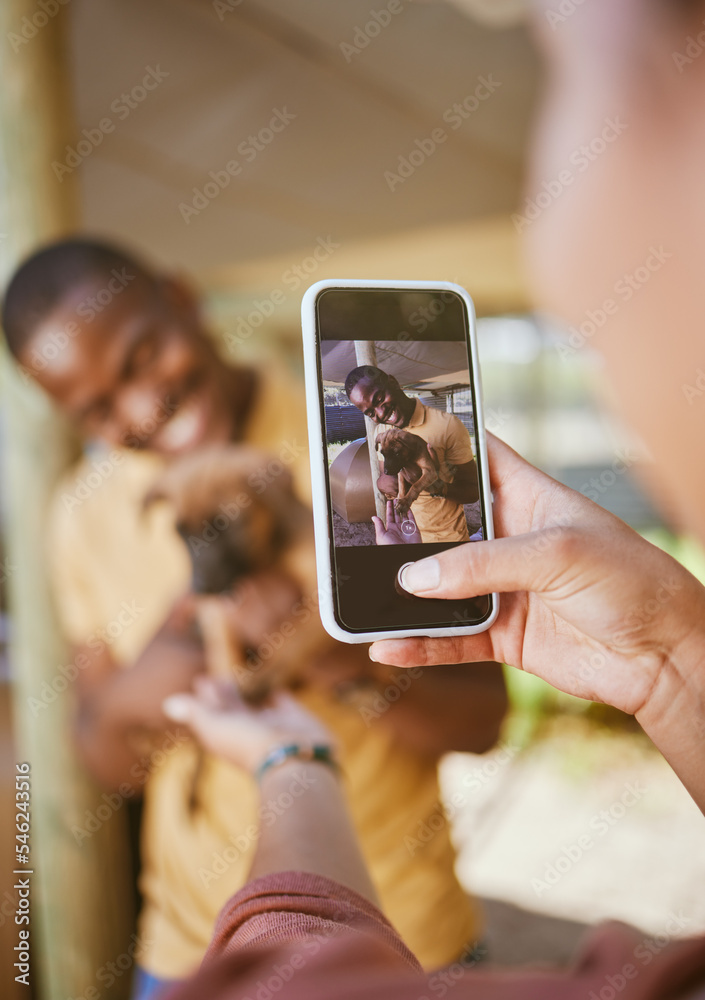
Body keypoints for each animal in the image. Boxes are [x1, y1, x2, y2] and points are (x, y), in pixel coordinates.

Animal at [147, 446, 328, 704]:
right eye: (180, 531)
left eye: (224, 523)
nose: (200, 590)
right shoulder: (218, 616)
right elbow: (224, 656)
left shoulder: (319, 593)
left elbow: (293, 638)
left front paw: (264, 677)